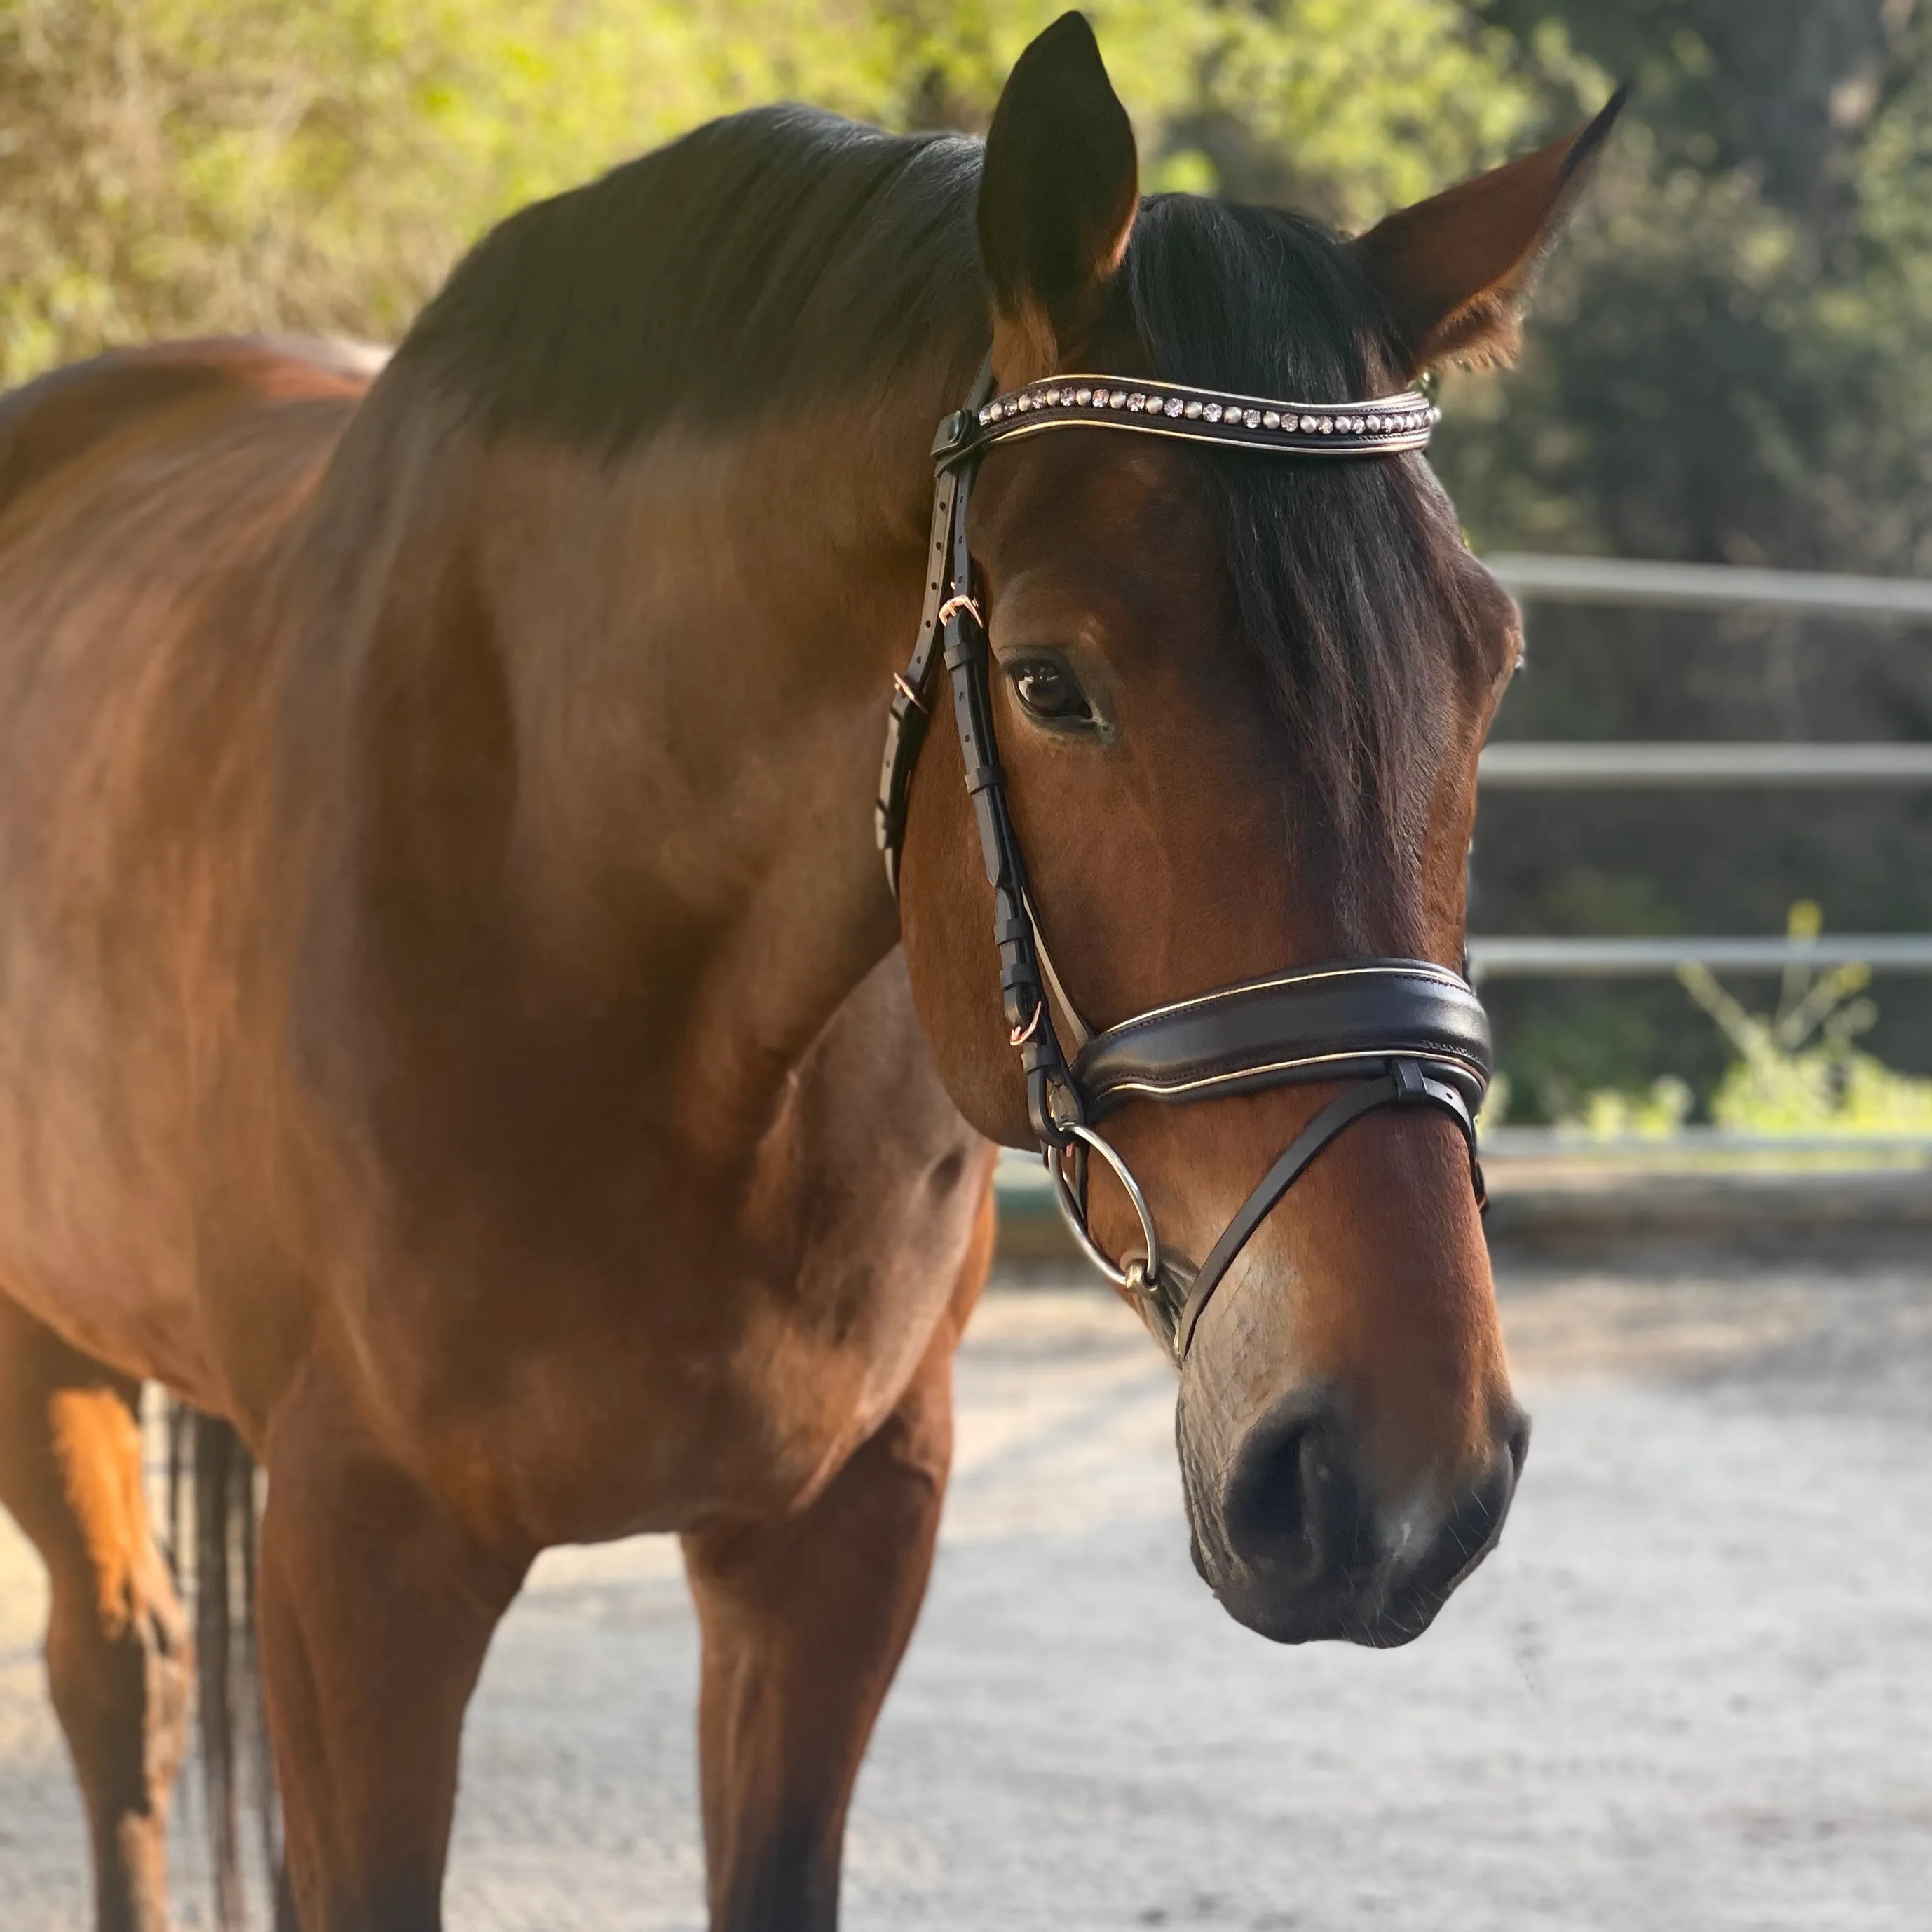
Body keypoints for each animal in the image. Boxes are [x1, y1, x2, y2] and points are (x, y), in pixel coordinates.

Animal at [0, 18, 1615, 1932]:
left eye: (1487, 663)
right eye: (1053, 682)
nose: (1394, 1474)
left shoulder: (839, 1539)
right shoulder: (359, 1569)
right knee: (119, 1672)